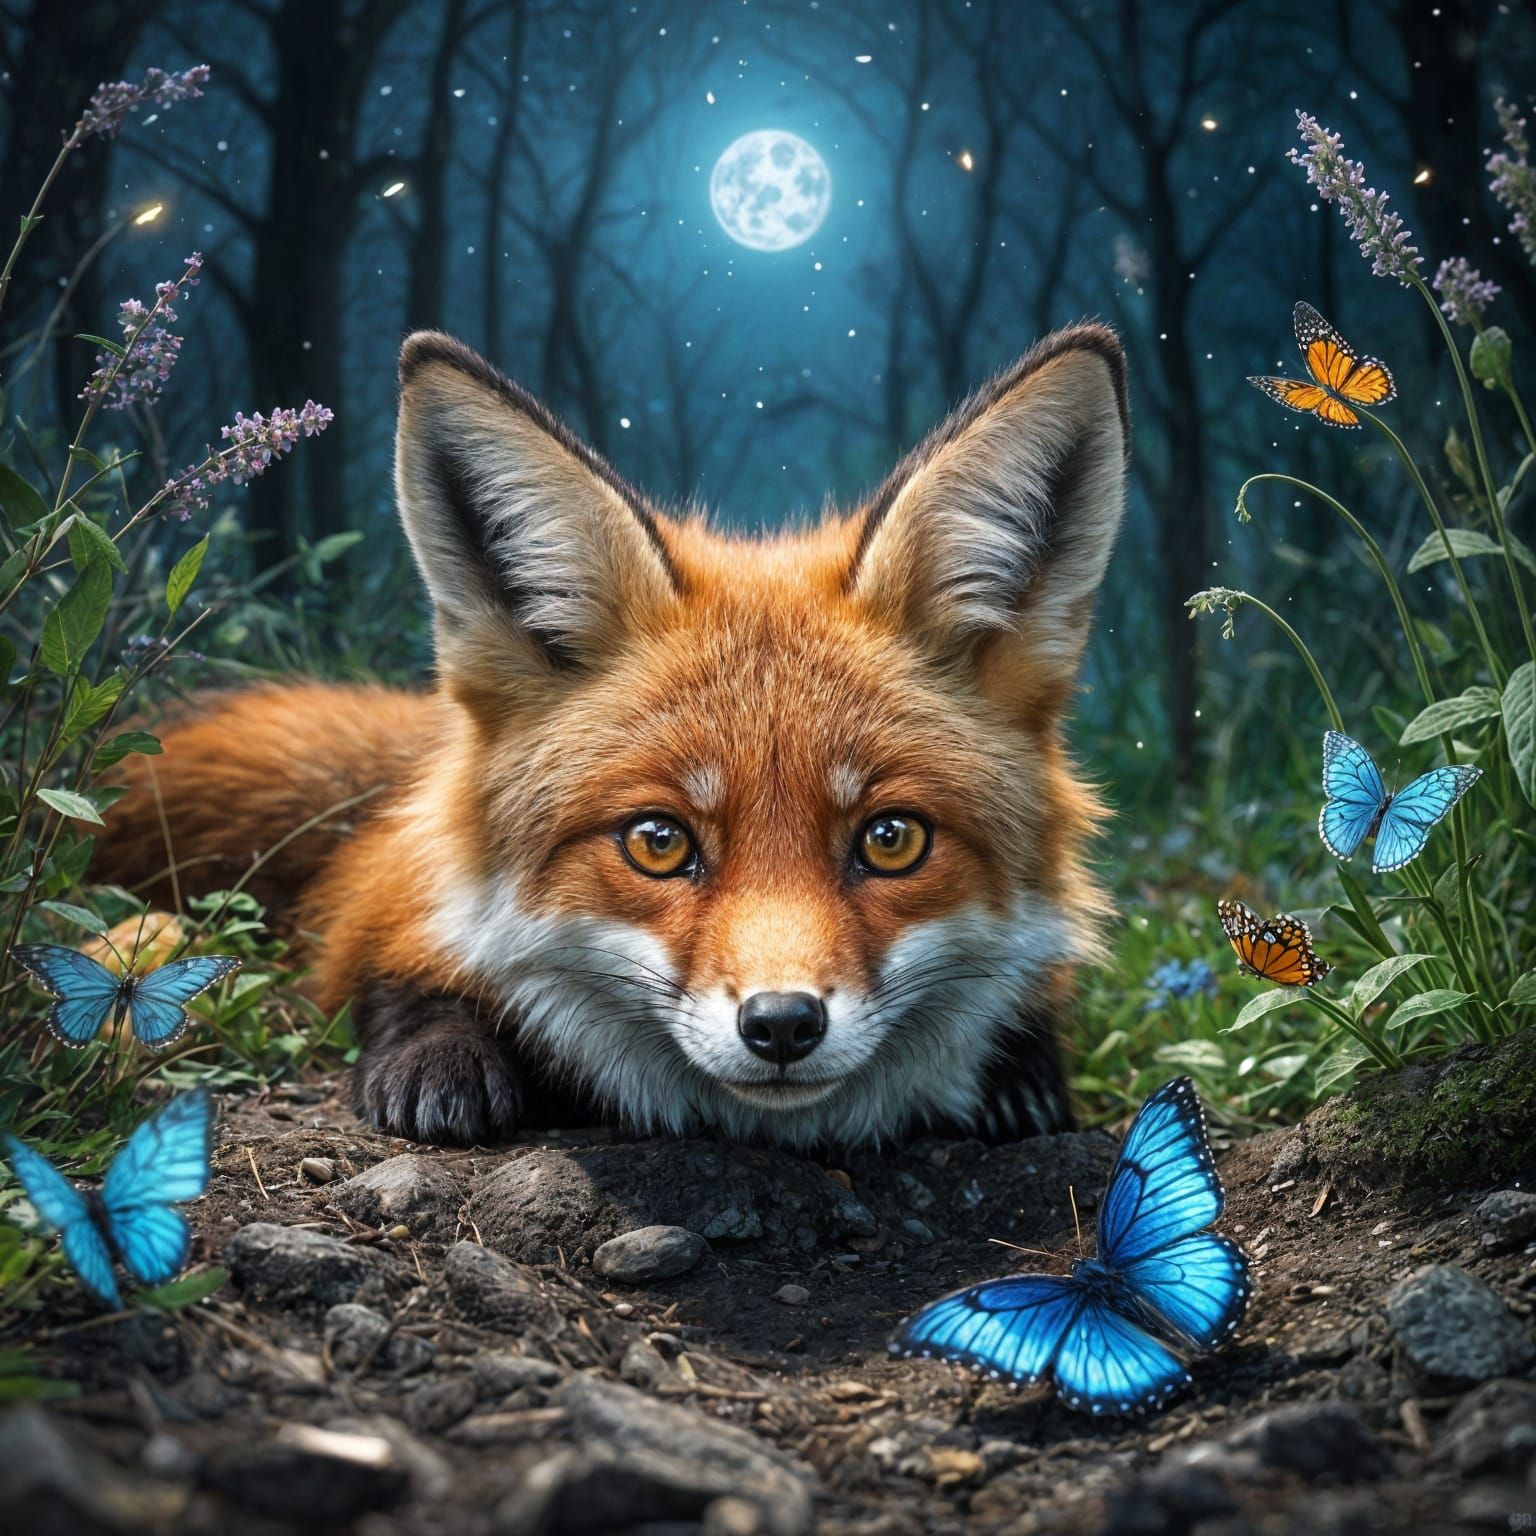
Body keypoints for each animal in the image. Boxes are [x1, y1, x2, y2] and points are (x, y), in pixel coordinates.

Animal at [94, 323, 1129, 1150]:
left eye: (893, 839)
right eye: (658, 842)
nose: (782, 1025)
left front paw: (1016, 1073)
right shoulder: (389, 901)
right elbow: (389, 965)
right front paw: (441, 1054)